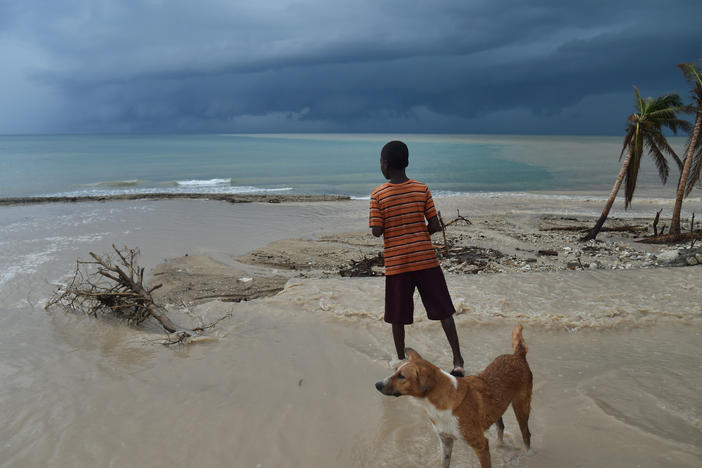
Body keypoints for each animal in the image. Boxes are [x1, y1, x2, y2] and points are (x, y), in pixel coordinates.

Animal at [374, 326, 532, 468]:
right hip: (497, 405)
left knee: (526, 435)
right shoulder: (446, 442)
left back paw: (529, 456)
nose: (377, 385)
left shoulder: (481, 444)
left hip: (521, 406)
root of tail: (518, 355)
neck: (438, 404)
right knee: (501, 425)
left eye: (401, 376)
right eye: (395, 370)